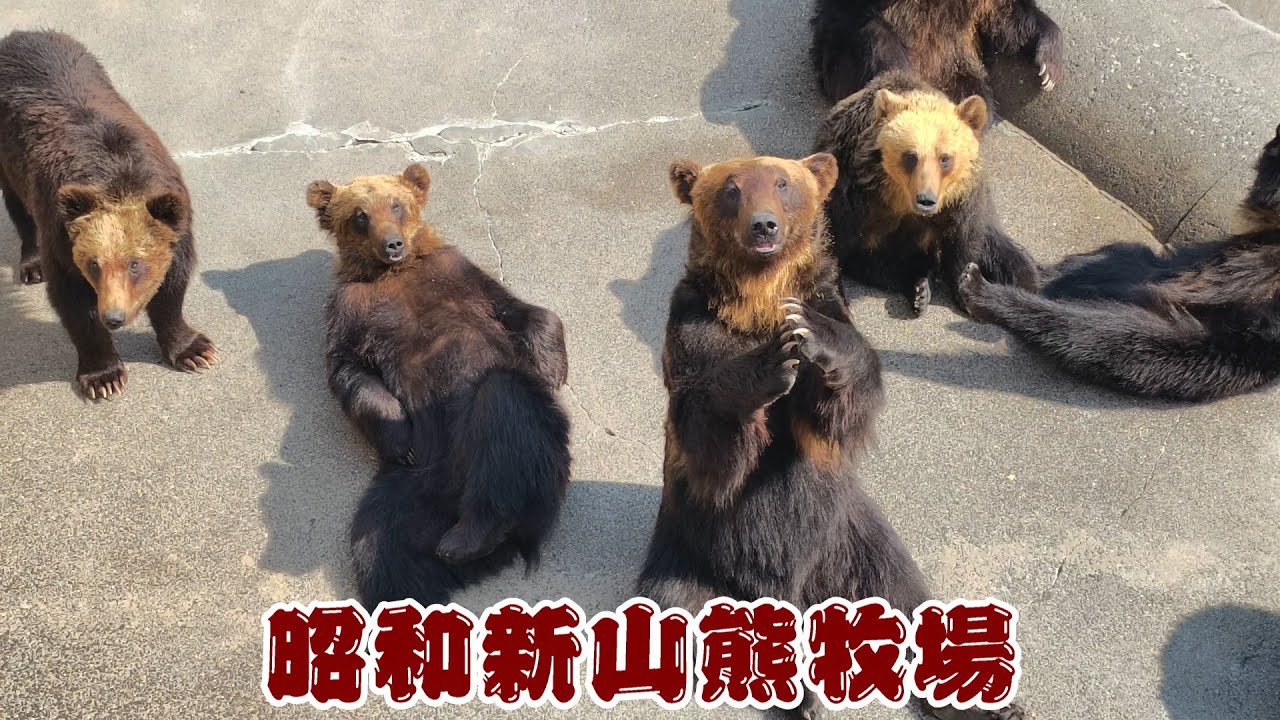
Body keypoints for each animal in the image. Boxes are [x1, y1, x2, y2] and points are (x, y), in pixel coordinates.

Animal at [0, 30, 218, 399]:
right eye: (93, 264)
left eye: (135, 264)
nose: (113, 317)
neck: (117, 179)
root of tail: (18, 36)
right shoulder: (61, 236)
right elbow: (73, 303)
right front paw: (104, 376)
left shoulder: (175, 225)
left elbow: (172, 286)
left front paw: (195, 350)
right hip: (9, 154)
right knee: (17, 205)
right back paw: (31, 264)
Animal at [306, 162, 572, 606]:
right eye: (360, 215)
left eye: (396, 204)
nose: (393, 244)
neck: (394, 273)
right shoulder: (350, 309)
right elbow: (348, 371)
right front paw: (399, 437)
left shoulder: (456, 272)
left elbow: (518, 309)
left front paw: (551, 368)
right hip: (408, 490)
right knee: (381, 547)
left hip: (527, 449)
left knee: (503, 413)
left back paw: (471, 535)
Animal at [636, 153, 1024, 720]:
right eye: (731, 188)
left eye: (782, 184)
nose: (764, 226)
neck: (755, 301)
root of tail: (793, 589)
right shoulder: (694, 329)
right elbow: (705, 430)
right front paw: (768, 364)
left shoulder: (829, 303)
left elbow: (844, 401)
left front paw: (811, 336)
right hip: (692, 555)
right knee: (680, 607)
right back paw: (799, 694)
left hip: (850, 540)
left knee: (901, 591)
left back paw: (982, 701)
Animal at [810, 0, 1065, 111]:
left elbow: (1009, 18)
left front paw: (1048, 68)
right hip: (841, 48)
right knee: (878, 42)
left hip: (955, 68)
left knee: (977, 95)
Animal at [814, 70, 1038, 317]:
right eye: (911, 156)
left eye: (945, 158)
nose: (926, 200)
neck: (897, 198)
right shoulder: (854, 195)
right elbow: (837, 244)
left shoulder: (960, 200)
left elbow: (964, 238)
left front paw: (965, 288)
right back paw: (919, 286)